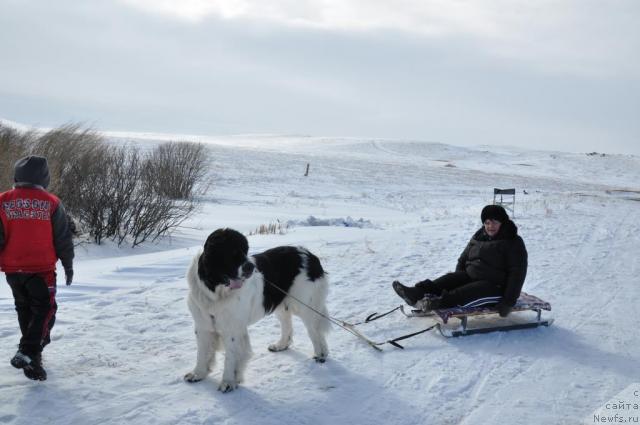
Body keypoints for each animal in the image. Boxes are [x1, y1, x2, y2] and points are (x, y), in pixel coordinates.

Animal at [181, 229, 328, 390]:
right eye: (232, 253)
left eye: (246, 251)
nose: (251, 267)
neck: (215, 292)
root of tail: (309, 255)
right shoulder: (203, 326)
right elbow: (202, 352)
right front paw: (198, 374)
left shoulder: (232, 329)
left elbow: (230, 356)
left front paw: (228, 382)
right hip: (282, 305)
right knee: (287, 325)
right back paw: (281, 345)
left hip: (307, 306)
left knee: (315, 331)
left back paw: (321, 355)